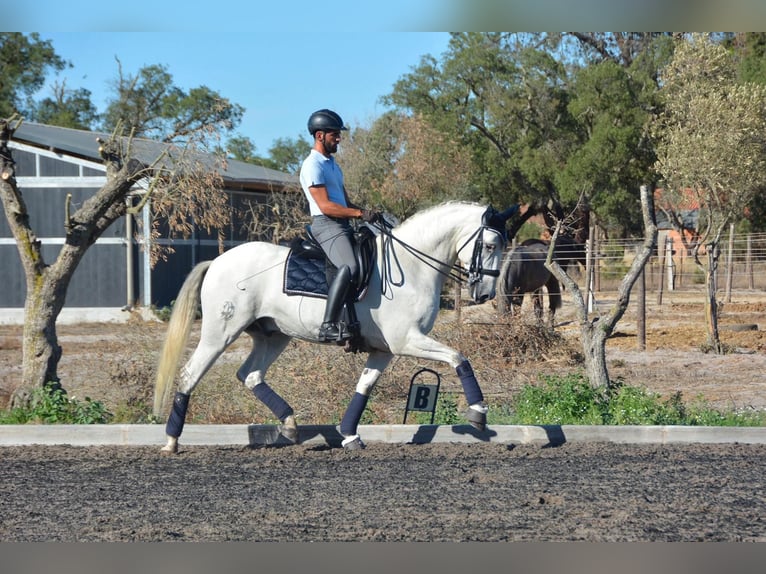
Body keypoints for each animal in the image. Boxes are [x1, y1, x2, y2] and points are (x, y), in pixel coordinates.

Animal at [153, 202, 520, 454]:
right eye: (490, 245)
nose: (485, 294)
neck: (412, 267)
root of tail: (217, 261)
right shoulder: (407, 341)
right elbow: (459, 358)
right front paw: (478, 414)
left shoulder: (385, 350)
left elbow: (364, 387)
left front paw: (349, 434)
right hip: (221, 332)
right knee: (190, 374)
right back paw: (171, 441)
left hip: (273, 335)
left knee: (251, 375)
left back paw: (290, 426)